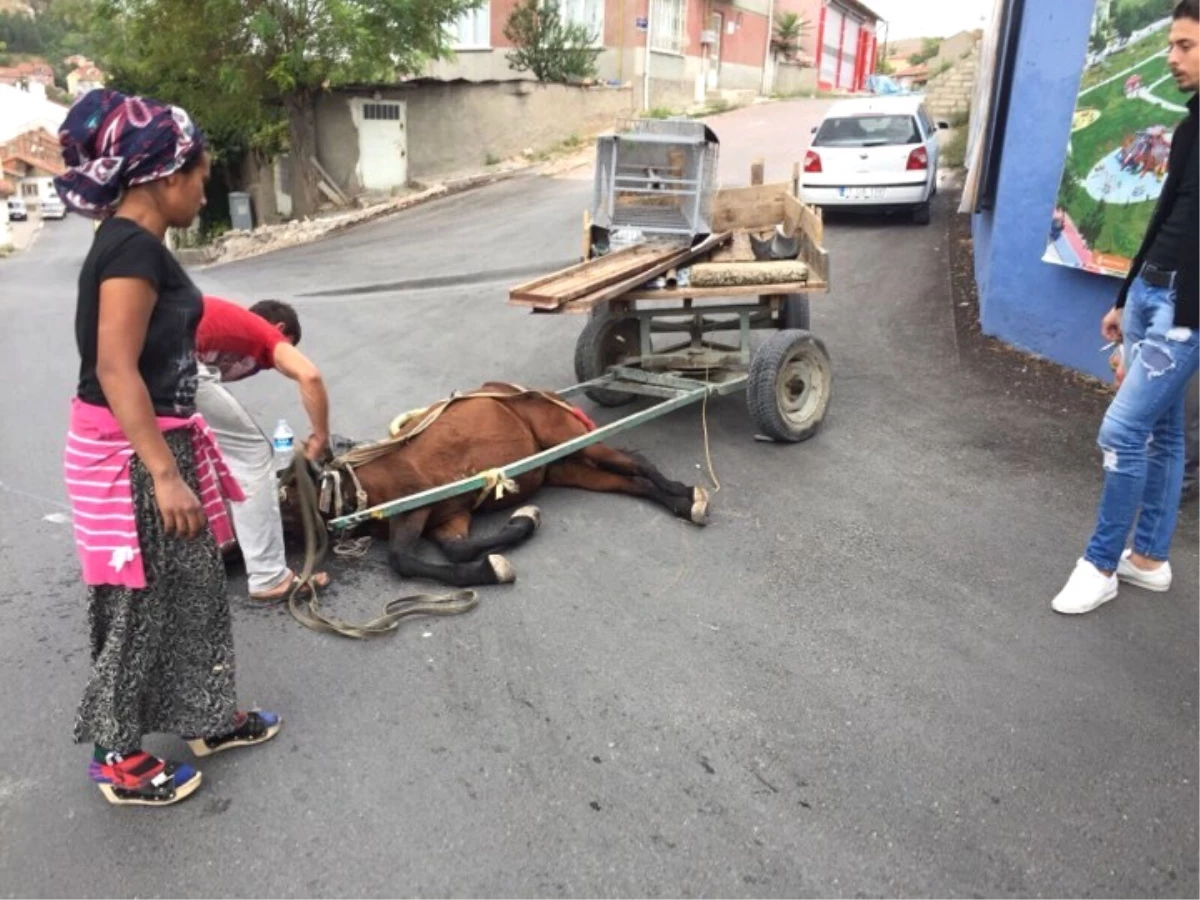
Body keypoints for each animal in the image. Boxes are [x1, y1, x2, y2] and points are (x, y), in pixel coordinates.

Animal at [307, 381, 710, 588]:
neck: (361, 485)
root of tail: (538, 391)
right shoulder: (446, 518)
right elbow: (458, 550)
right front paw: (518, 529)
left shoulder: (414, 508)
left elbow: (400, 559)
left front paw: (495, 563)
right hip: (568, 467)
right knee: (631, 481)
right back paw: (680, 503)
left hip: (571, 437)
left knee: (637, 462)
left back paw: (689, 497)